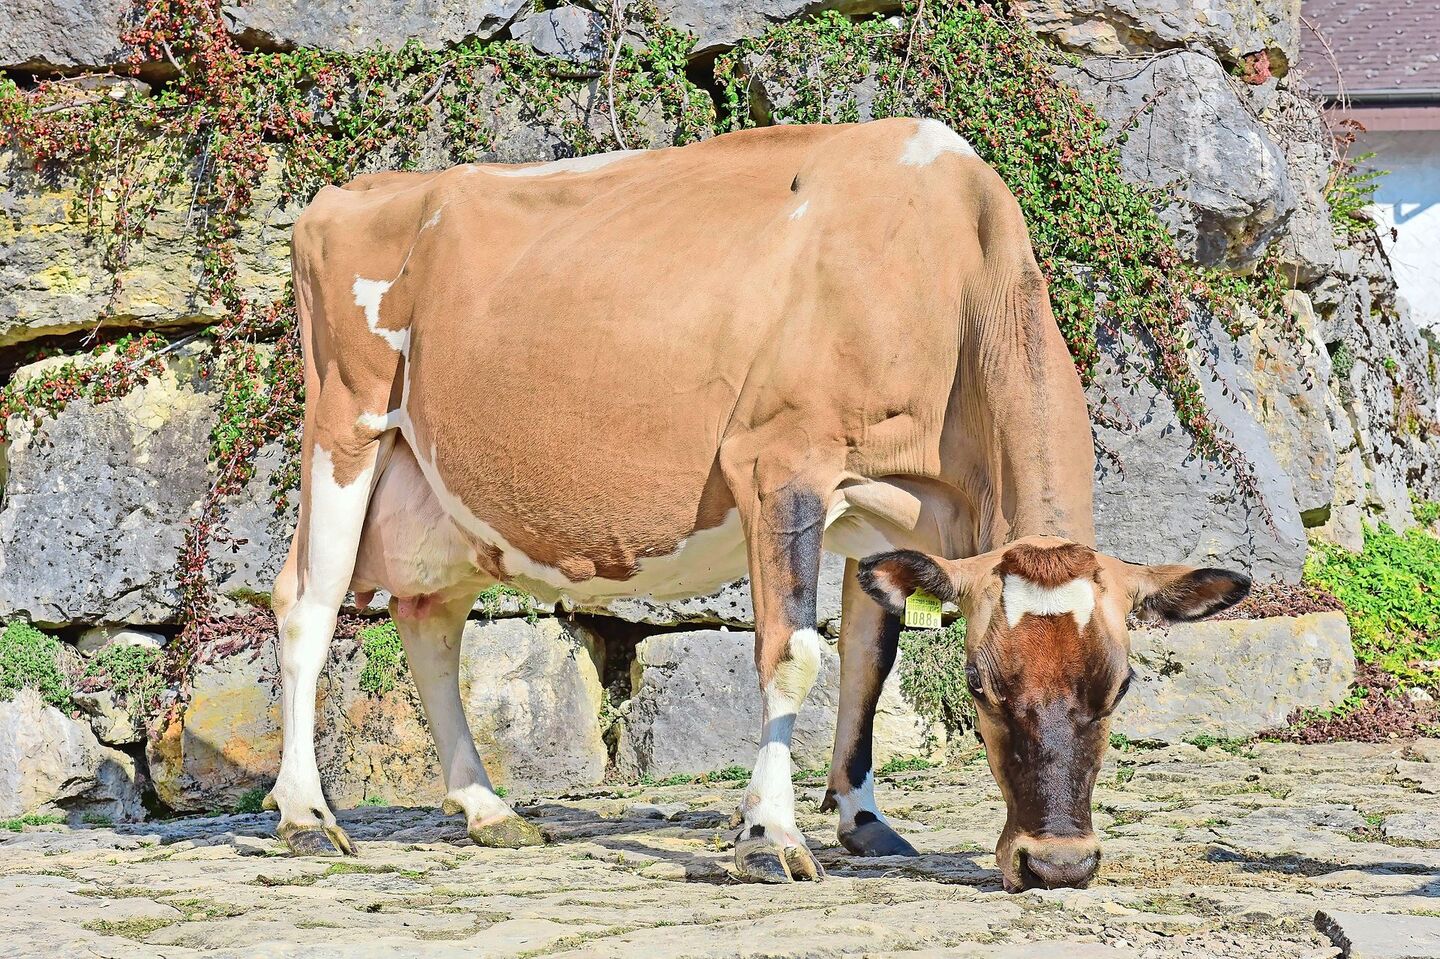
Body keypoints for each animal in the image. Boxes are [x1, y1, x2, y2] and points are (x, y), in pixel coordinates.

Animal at [267, 117, 1250, 891]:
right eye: (980, 683)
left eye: (1120, 684)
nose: (1058, 863)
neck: (937, 270)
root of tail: (349, 192)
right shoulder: (780, 463)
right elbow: (794, 653)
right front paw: (768, 834)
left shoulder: (892, 516)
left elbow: (869, 660)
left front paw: (861, 818)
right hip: (345, 422)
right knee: (307, 603)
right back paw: (307, 815)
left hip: (441, 493)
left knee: (429, 621)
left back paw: (484, 807)